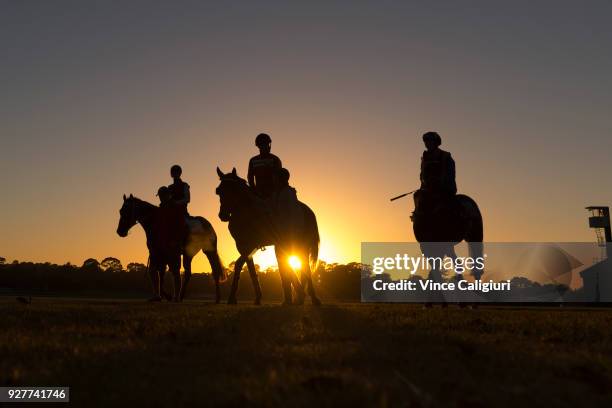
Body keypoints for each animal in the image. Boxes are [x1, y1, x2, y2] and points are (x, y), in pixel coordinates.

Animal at [215, 167, 320, 304]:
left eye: (233, 189)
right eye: (219, 191)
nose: (223, 215)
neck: (246, 210)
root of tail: (307, 210)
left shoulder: (248, 246)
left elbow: (238, 265)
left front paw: (232, 297)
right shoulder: (244, 246)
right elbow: (250, 270)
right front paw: (257, 297)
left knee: (304, 265)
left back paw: (310, 296)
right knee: (299, 264)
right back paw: (299, 296)